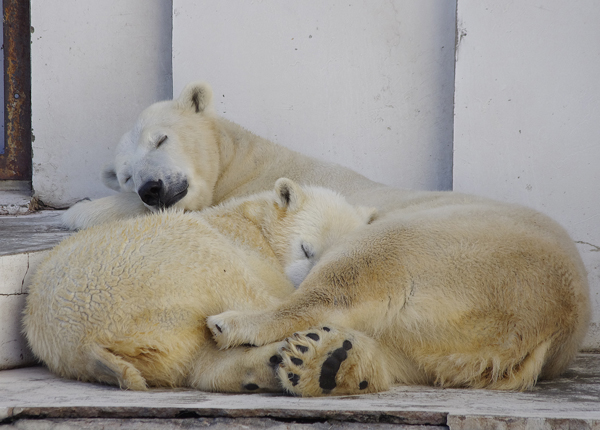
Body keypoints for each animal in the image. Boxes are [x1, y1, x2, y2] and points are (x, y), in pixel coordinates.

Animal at [27, 178, 380, 394]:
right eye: (307, 250)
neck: (256, 222)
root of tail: (83, 343)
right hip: (164, 259)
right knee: (232, 280)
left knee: (196, 360)